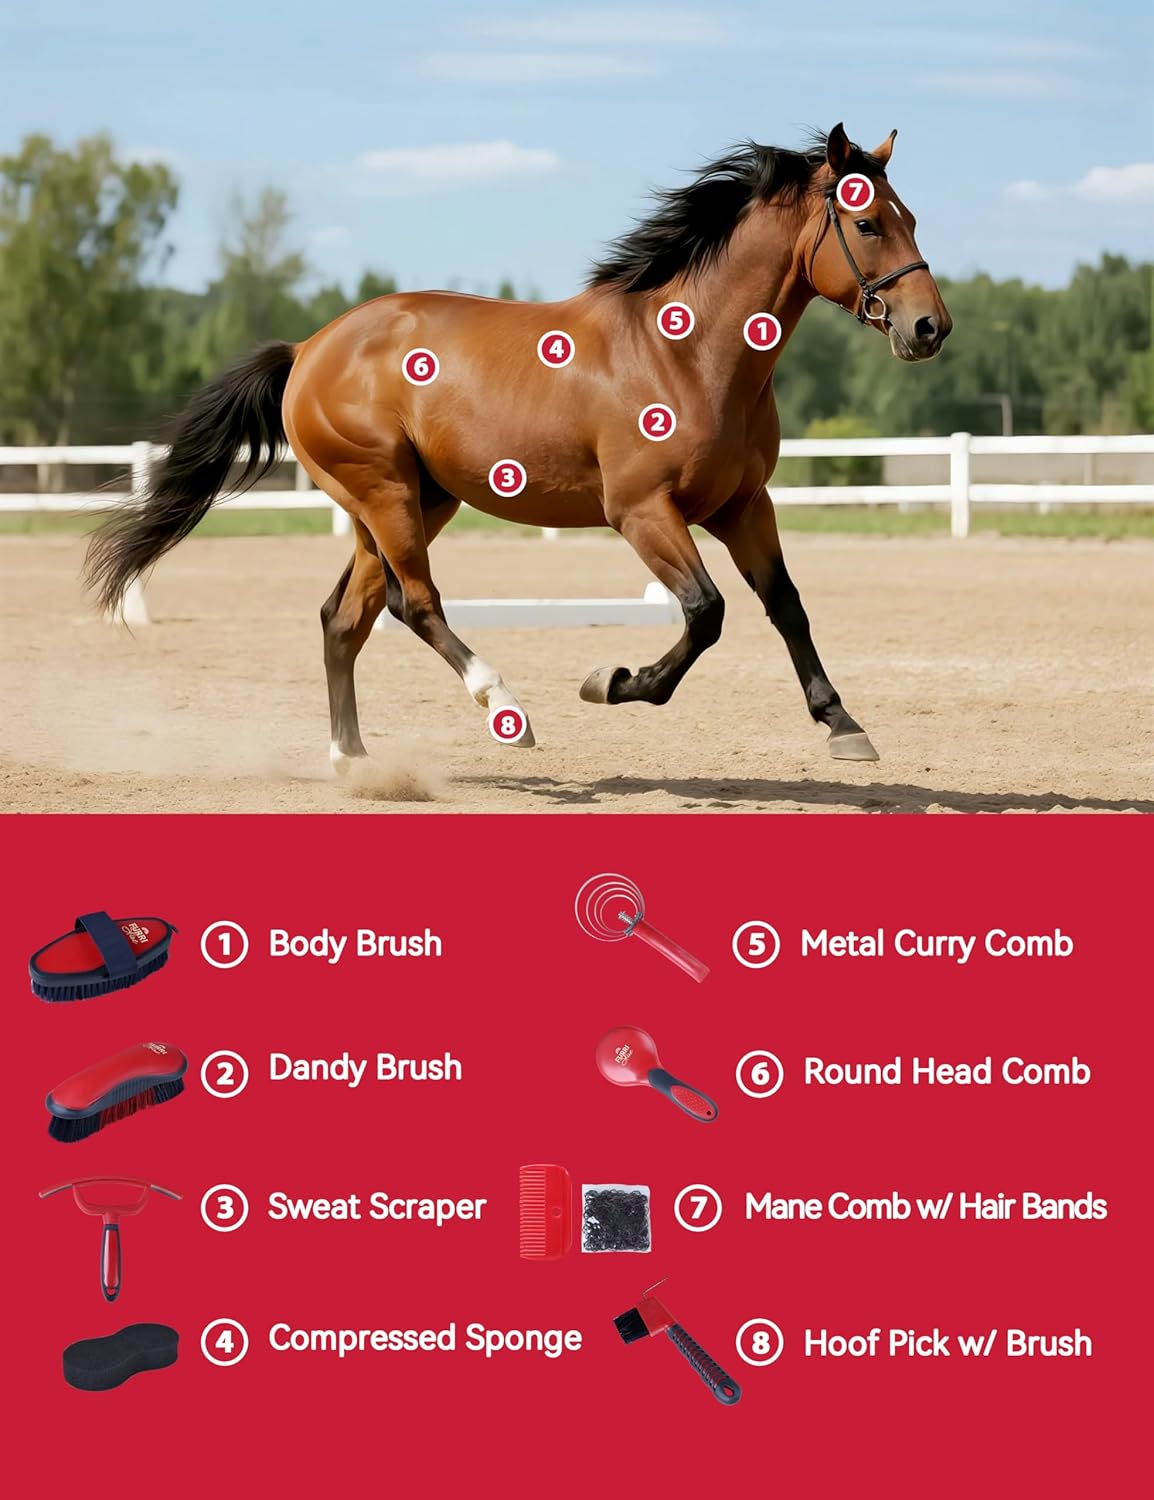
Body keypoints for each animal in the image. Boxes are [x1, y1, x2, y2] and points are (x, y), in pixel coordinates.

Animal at [86, 123, 951, 770]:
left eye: (910, 218)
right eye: (868, 222)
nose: (929, 328)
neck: (690, 352)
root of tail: (309, 348)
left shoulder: (744, 505)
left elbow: (785, 605)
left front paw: (843, 726)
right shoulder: (642, 512)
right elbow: (706, 613)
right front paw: (613, 681)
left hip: (408, 503)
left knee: (345, 617)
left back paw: (355, 762)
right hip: (385, 495)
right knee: (412, 602)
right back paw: (506, 709)